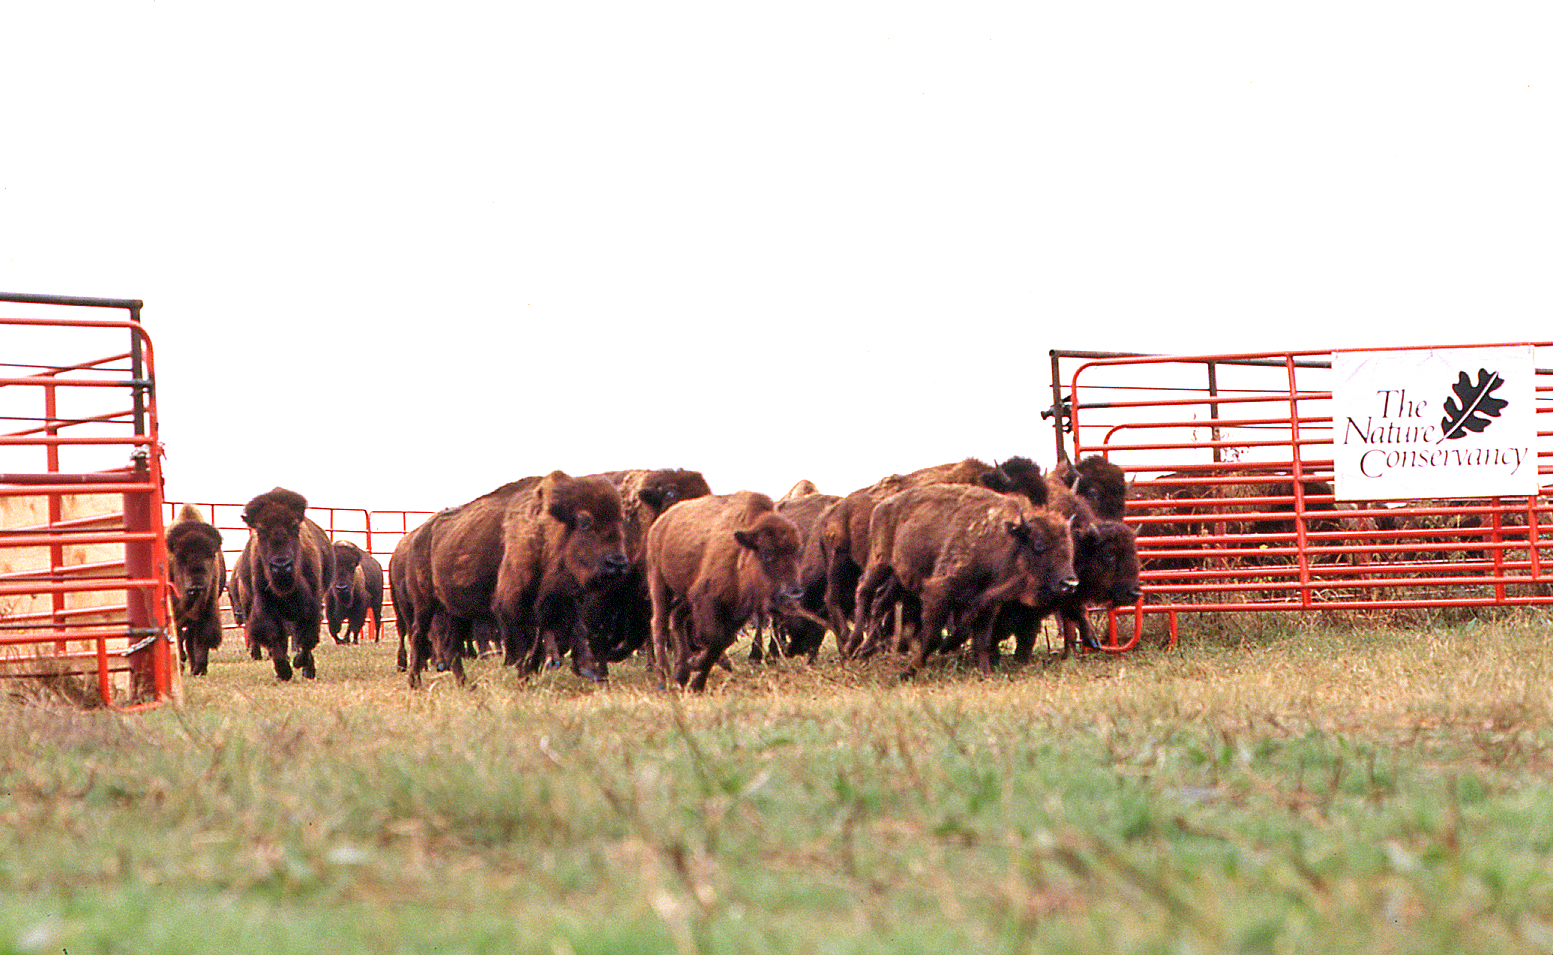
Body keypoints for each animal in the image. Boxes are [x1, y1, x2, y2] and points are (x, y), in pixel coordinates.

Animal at [165, 503, 226, 677]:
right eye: (179, 555)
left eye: (211, 554)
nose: (196, 587)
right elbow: (178, 635)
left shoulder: (208, 606)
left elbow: (201, 637)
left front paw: (200, 668)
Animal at [236, 490, 333, 683]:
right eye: (260, 530)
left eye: (295, 527)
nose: (281, 566)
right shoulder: (264, 606)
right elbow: (274, 636)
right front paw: (284, 671)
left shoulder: (312, 606)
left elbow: (307, 638)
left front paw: (299, 664)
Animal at [428, 472, 627, 683]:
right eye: (584, 522)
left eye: (620, 521)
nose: (618, 563)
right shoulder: (511, 605)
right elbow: (522, 644)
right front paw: (526, 675)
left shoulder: (561, 600)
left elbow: (574, 630)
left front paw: (588, 670)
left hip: (458, 613)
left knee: (452, 647)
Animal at [646, 493, 807, 695]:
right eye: (767, 552)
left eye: (797, 553)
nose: (794, 595)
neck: (742, 553)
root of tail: (660, 523)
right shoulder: (705, 599)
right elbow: (714, 639)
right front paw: (695, 664)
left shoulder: (736, 613)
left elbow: (722, 642)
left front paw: (696, 682)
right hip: (659, 583)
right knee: (659, 624)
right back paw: (663, 679)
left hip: (685, 595)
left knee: (676, 618)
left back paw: (681, 674)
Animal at [838, 484, 1080, 680]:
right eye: (1039, 544)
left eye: (1070, 546)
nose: (1070, 583)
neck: (1003, 540)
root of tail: (881, 506)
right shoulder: (938, 593)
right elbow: (932, 637)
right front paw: (907, 672)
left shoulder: (988, 604)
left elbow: (980, 639)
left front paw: (986, 674)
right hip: (879, 563)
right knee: (864, 592)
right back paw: (851, 646)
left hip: (899, 579)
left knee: (880, 602)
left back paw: (866, 649)